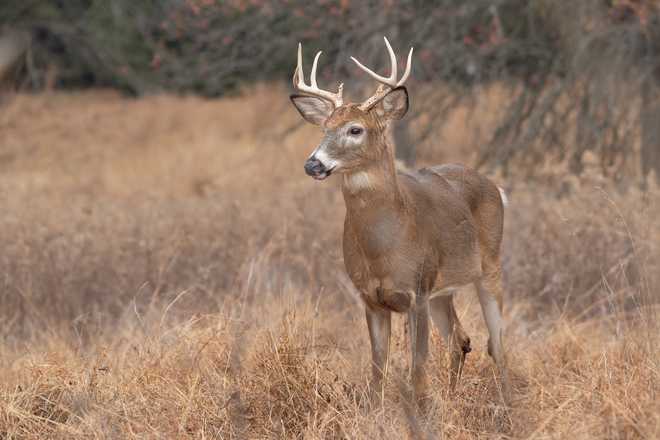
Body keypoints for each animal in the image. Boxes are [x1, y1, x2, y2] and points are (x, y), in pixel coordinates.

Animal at [290, 37, 511, 408]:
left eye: (355, 129)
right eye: (324, 128)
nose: (313, 164)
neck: (384, 244)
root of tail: (494, 186)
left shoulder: (415, 291)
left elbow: (418, 369)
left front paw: (423, 410)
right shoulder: (371, 297)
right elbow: (377, 372)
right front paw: (376, 412)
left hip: (489, 266)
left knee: (497, 342)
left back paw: (506, 401)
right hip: (442, 288)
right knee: (461, 340)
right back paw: (454, 397)